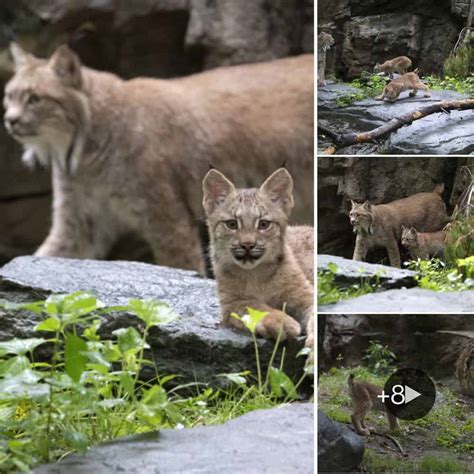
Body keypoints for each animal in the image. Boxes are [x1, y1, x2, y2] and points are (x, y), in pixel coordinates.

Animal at [202, 167, 312, 348]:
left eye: (263, 224)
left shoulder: (305, 293)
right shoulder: (231, 303)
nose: (247, 245)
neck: (256, 273)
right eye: (232, 224)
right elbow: (256, 306)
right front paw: (281, 321)